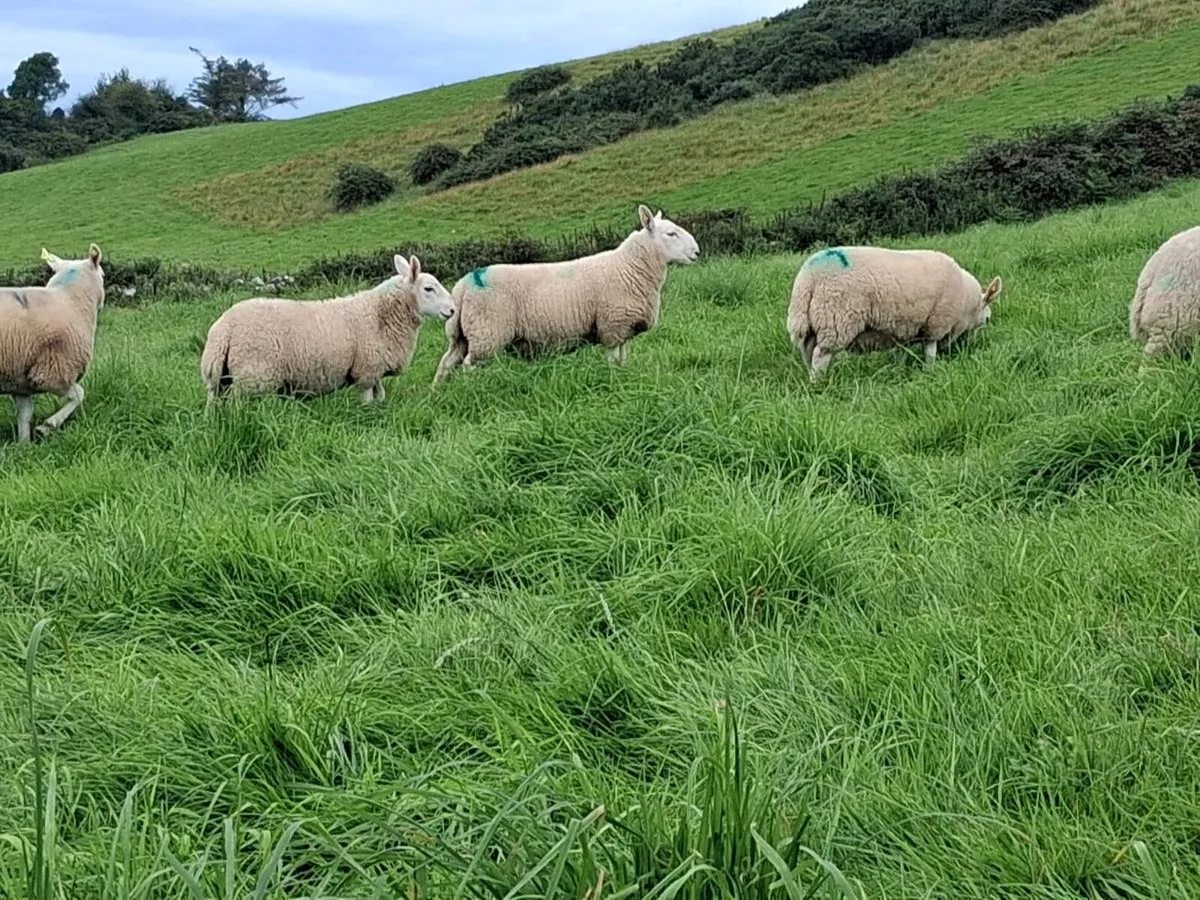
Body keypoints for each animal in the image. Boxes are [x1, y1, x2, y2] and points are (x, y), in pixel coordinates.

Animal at [0, 244, 106, 444]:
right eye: (103, 274)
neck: (70, 300)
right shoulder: (54, 373)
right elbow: (79, 395)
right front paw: (47, 426)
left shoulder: (20, 380)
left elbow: (24, 415)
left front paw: (24, 445)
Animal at [200, 254, 455, 405]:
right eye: (429, 288)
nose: (452, 310)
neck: (380, 314)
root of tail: (223, 331)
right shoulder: (366, 369)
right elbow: (367, 399)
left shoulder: (375, 369)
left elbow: (380, 395)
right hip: (251, 378)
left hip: (219, 380)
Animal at [433, 204, 700, 383]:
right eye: (671, 234)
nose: (697, 252)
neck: (629, 268)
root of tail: (463, 286)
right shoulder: (612, 324)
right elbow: (613, 359)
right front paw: (614, 380)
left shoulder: (622, 328)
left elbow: (624, 358)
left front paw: (626, 374)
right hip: (487, 333)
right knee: (469, 365)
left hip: (462, 335)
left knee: (447, 362)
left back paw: (439, 392)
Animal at [787, 245, 1002, 381]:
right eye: (987, 319)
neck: (967, 302)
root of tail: (808, 278)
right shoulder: (935, 324)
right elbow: (930, 352)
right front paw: (930, 371)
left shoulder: (904, 328)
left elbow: (901, 353)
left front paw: (898, 371)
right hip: (836, 321)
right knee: (820, 357)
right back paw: (818, 385)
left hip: (812, 325)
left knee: (808, 353)